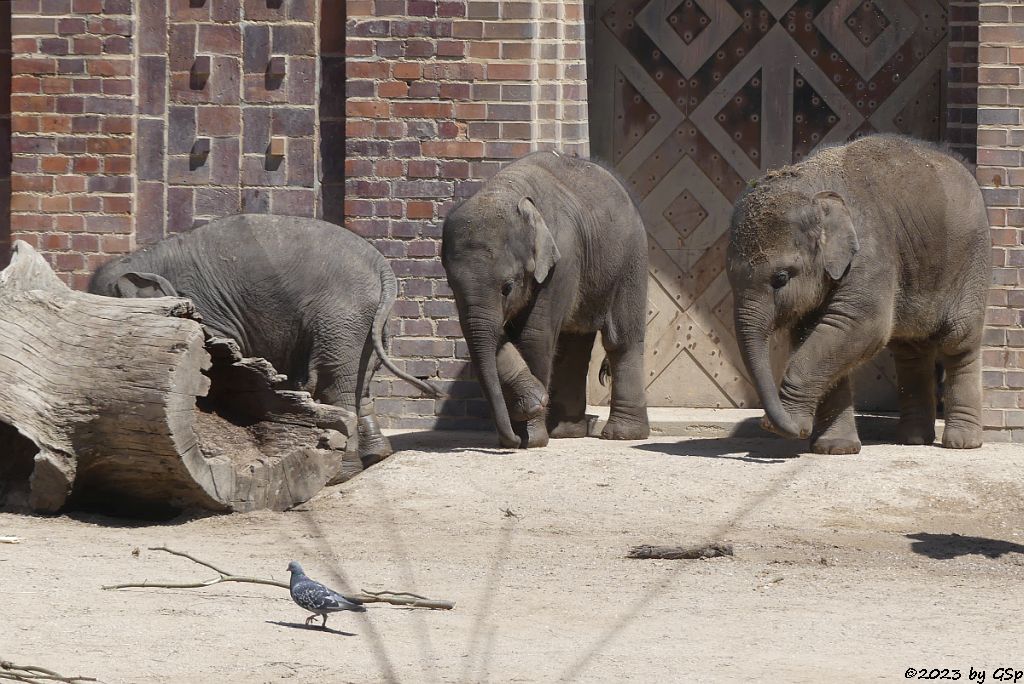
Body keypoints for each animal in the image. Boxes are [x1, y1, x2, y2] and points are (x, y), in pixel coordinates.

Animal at [90, 214, 438, 466]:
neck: (143, 256)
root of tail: (383, 269)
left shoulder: (207, 308)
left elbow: (218, 359)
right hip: (366, 323)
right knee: (357, 380)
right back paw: (375, 456)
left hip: (341, 317)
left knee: (333, 382)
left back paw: (345, 469)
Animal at [440, 150, 647, 448]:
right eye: (450, 285)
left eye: (507, 287)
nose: (511, 440)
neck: (504, 191)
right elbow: (490, 335)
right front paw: (531, 409)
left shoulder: (561, 260)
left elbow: (532, 336)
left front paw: (532, 438)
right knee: (574, 344)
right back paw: (566, 433)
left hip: (631, 258)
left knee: (621, 339)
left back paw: (622, 435)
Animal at [724, 135, 995, 454]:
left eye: (780, 278)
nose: (791, 429)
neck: (814, 184)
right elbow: (816, 334)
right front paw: (835, 448)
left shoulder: (871, 253)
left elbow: (860, 325)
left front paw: (794, 426)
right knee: (911, 351)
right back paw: (912, 440)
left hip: (972, 262)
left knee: (958, 342)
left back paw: (961, 443)